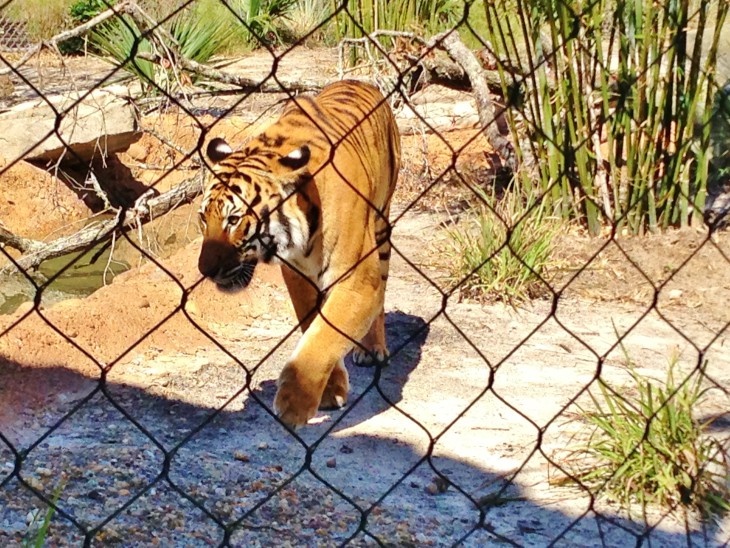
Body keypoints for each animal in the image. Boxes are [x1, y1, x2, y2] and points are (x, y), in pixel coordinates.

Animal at [198, 79, 398, 428]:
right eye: (202, 218)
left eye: (233, 220)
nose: (203, 269)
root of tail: (359, 80)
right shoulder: (296, 273)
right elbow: (313, 325)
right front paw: (330, 390)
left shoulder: (358, 279)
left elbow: (324, 336)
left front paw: (295, 403)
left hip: (381, 229)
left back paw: (373, 349)